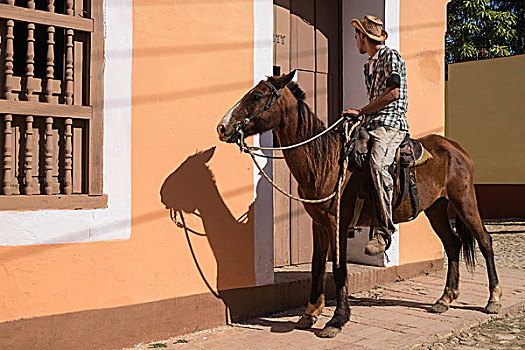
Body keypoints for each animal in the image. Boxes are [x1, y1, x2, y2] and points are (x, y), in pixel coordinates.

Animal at [215, 69, 502, 338]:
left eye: (257, 96)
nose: (222, 127)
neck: (326, 162)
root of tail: (456, 148)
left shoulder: (338, 224)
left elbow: (339, 269)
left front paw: (336, 321)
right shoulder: (319, 223)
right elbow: (317, 266)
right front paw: (309, 314)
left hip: (464, 202)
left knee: (485, 241)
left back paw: (494, 299)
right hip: (436, 208)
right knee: (452, 244)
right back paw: (445, 298)